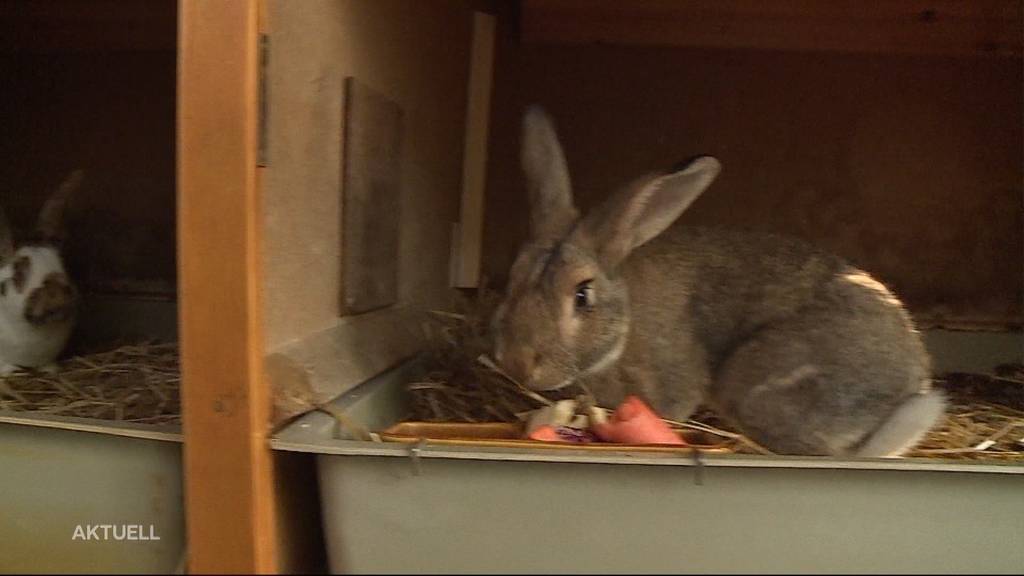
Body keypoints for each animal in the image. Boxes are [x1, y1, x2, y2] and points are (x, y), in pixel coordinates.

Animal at [491, 106, 946, 457]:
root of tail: (910, 385)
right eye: (512, 277)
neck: (625, 325)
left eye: (582, 295)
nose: (517, 363)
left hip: (757, 385)